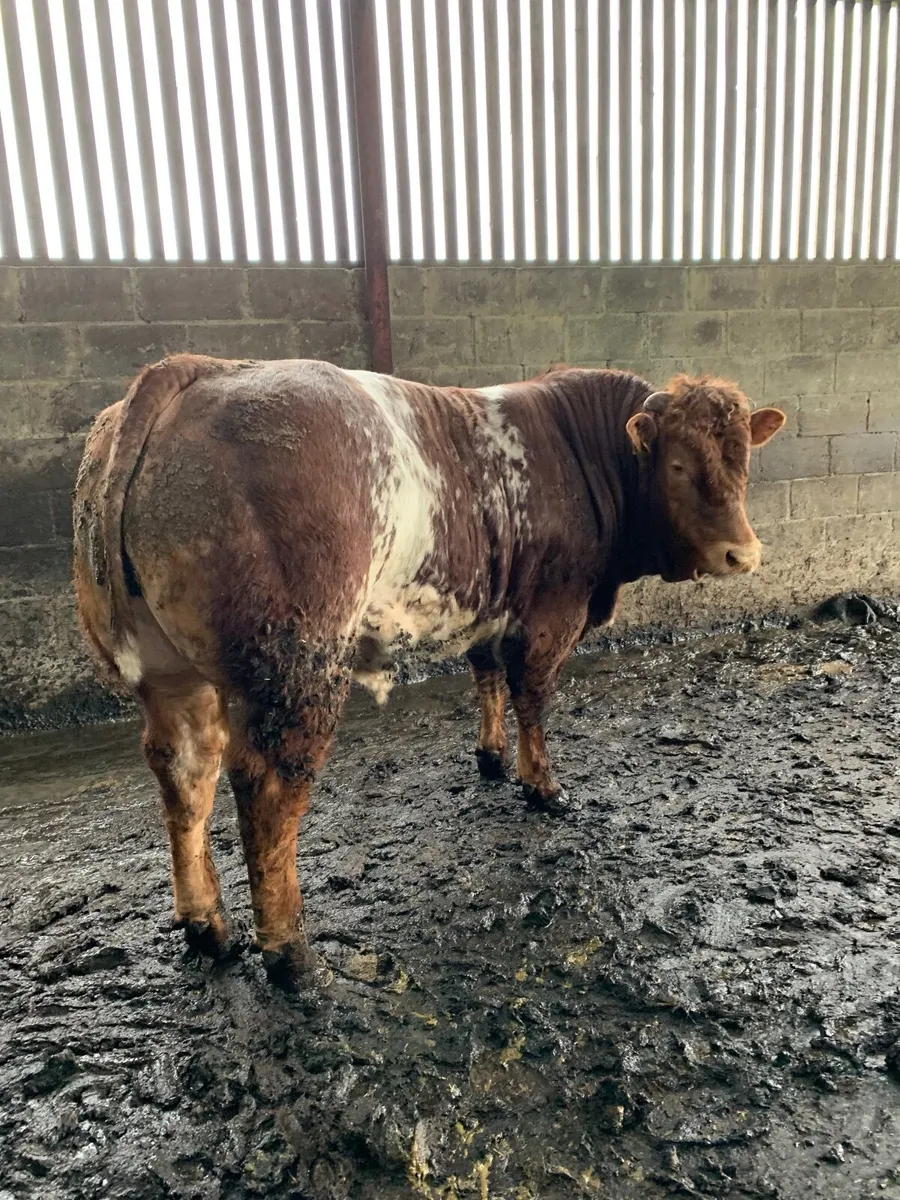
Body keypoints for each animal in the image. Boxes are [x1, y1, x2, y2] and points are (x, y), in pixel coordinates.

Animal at [73, 354, 785, 988]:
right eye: (678, 465)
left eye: (744, 462)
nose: (743, 554)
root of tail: (195, 369)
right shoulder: (552, 610)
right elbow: (532, 695)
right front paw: (542, 787)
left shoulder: (490, 604)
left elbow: (487, 676)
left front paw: (491, 758)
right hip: (297, 667)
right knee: (269, 785)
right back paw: (291, 954)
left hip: (171, 675)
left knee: (186, 772)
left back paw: (207, 927)